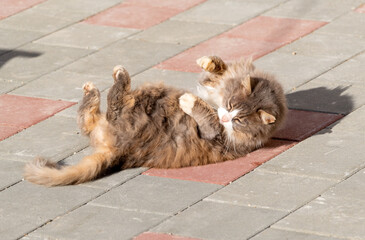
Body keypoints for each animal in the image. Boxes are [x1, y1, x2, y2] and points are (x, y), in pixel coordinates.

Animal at [24, 57, 286, 187]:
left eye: (239, 120)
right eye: (231, 105)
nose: (225, 117)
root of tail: (118, 152)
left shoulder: (216, 134)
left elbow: (204, 113)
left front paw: (189, 101)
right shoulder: (216, 87)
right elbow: (217, 72)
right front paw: (209, 62)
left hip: (143, 99)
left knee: (114, 100)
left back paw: (116, 78)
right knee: (86, 119)